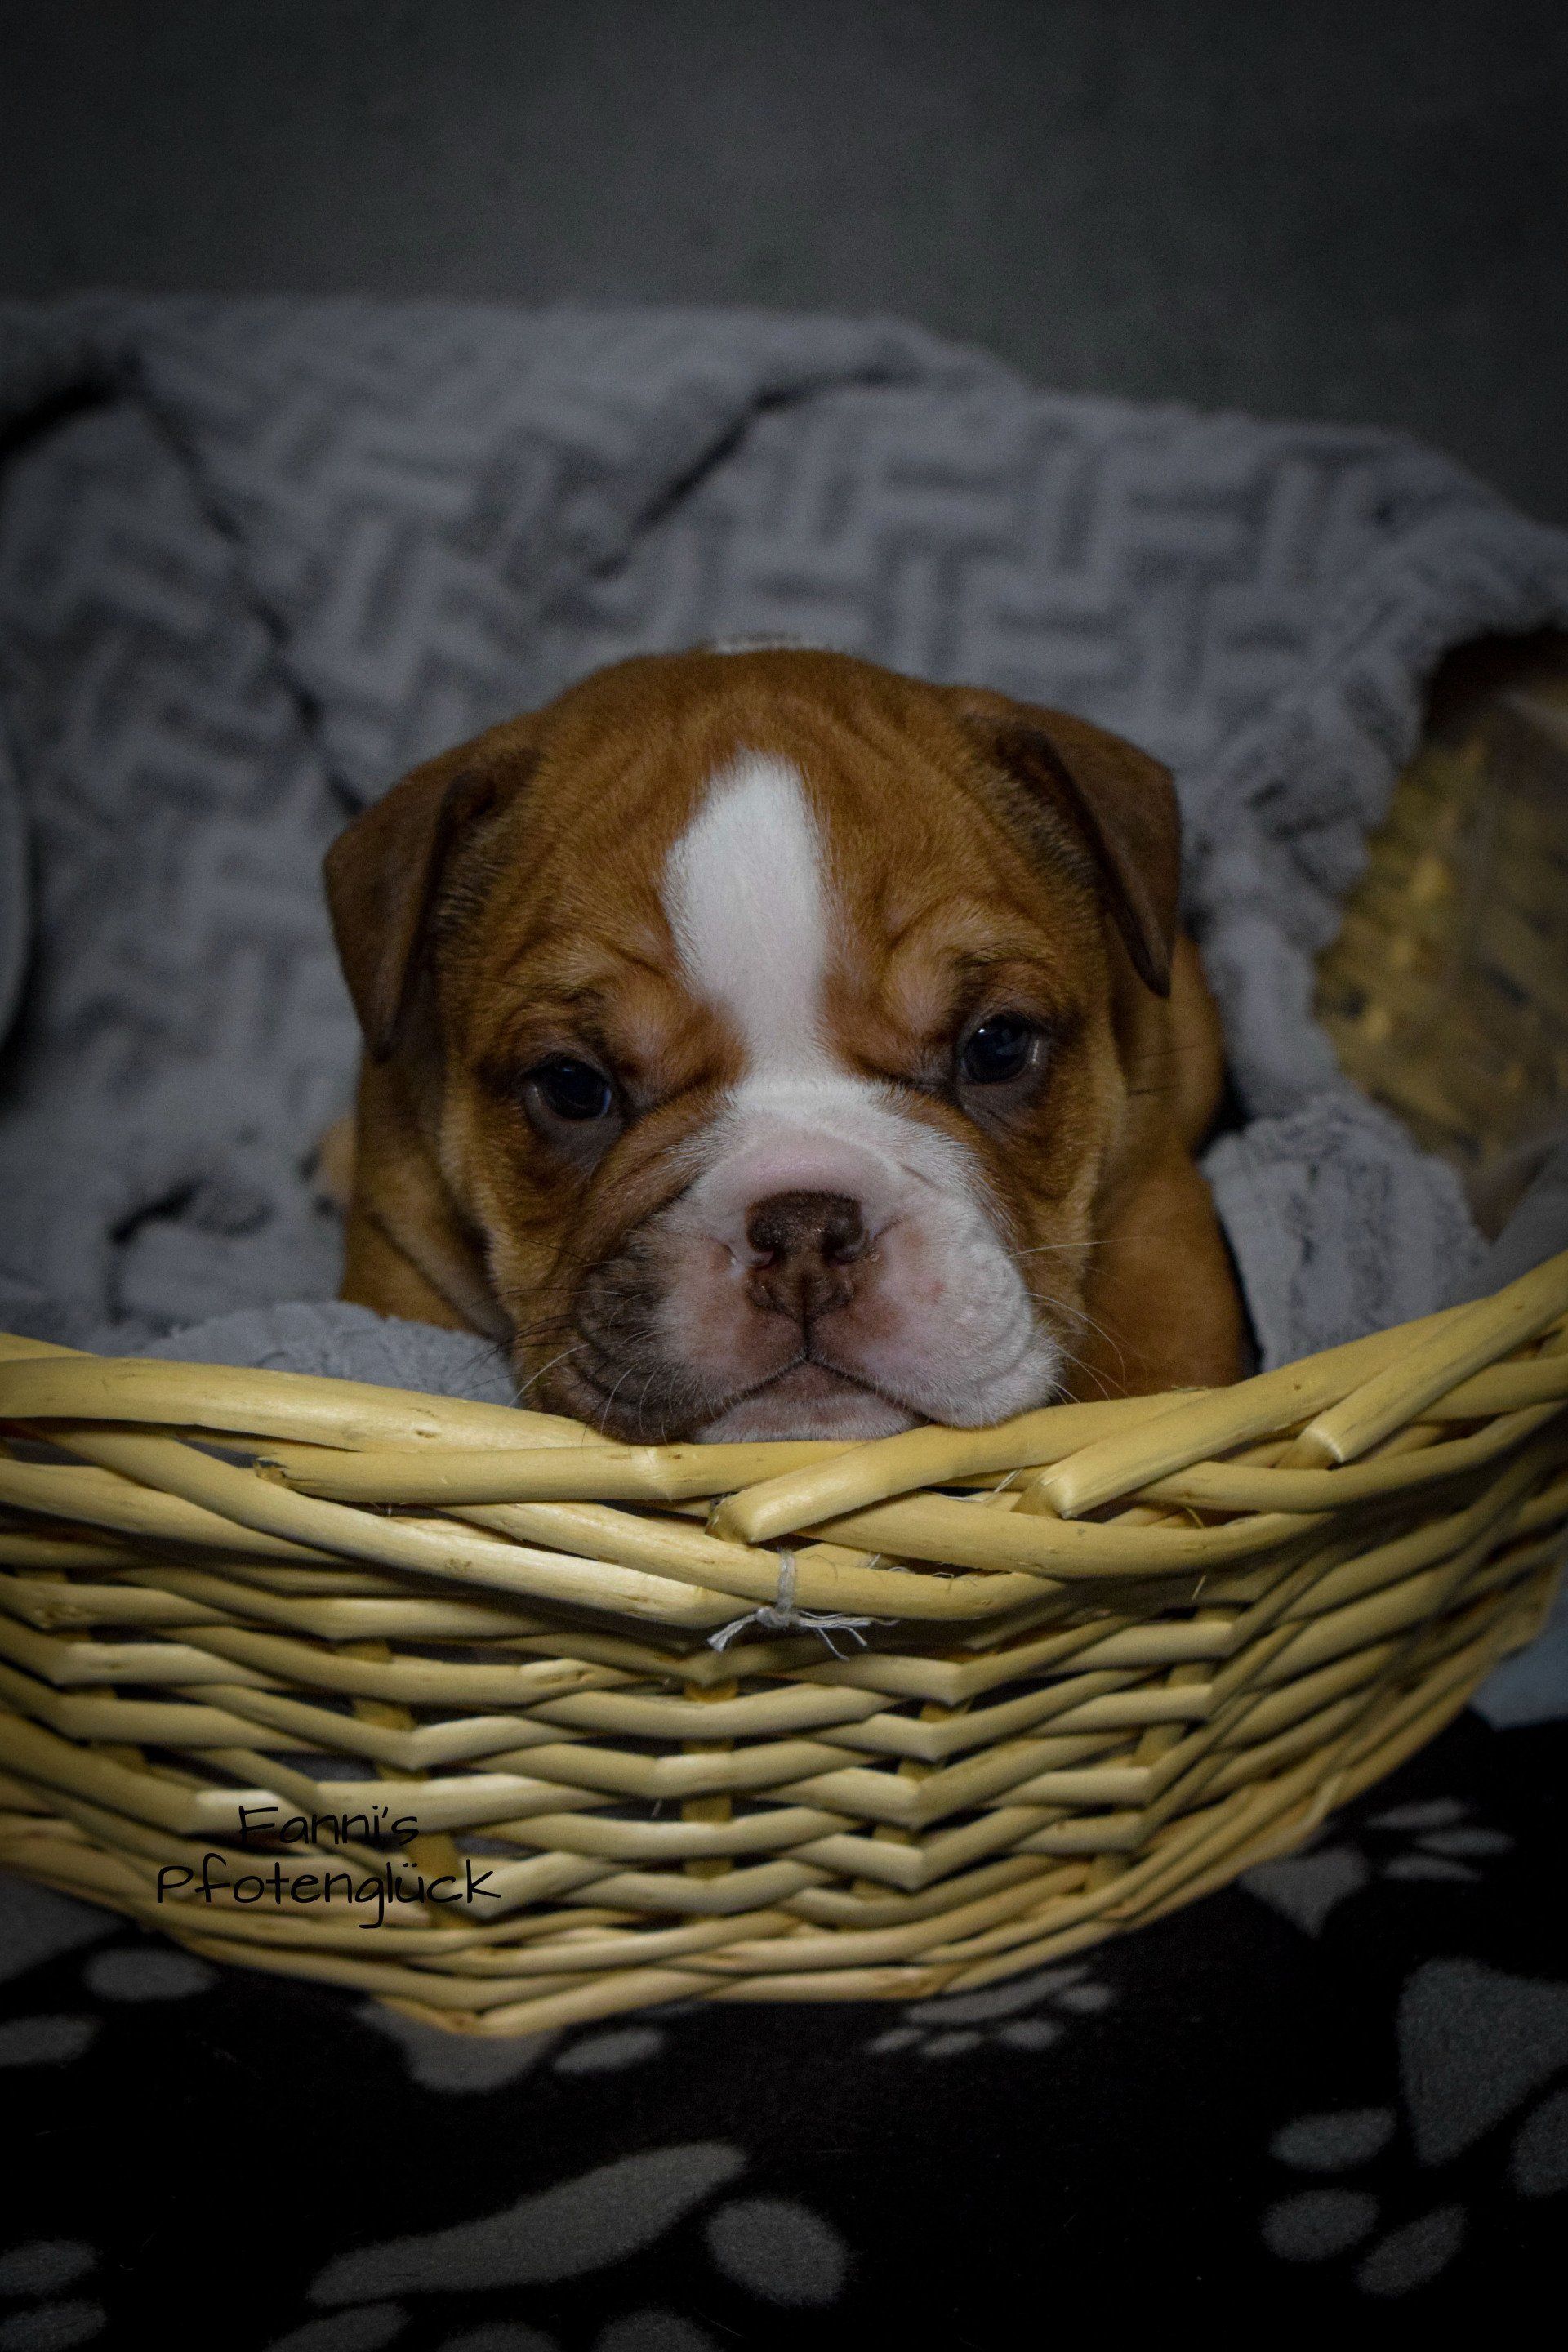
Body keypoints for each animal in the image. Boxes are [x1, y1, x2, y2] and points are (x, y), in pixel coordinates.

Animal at [323, 647, 1245, 1440]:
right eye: (573, 1086)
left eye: (998, 1046)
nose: (804, 1229)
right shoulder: (397, 1252)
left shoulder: (1158, 1217)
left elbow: (1157, 1388)